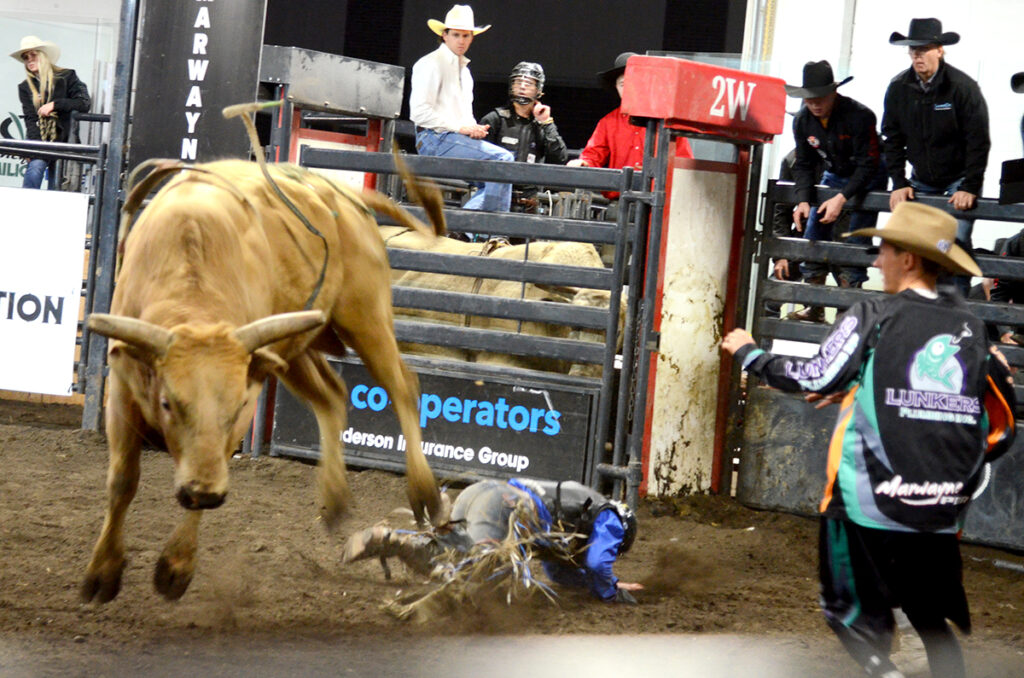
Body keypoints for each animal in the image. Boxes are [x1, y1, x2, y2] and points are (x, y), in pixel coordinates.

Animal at [82, 156, 447, 603]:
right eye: (167, 402)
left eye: (237, 405)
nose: (202, 491)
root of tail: (344, 194)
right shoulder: (122, 387)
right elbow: (122, 480)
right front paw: (102, 571)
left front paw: (175, 568)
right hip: (294, 344)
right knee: (332, 395)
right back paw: (334, 498)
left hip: (366, 317)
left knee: (402, 388)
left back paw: (424, 492)